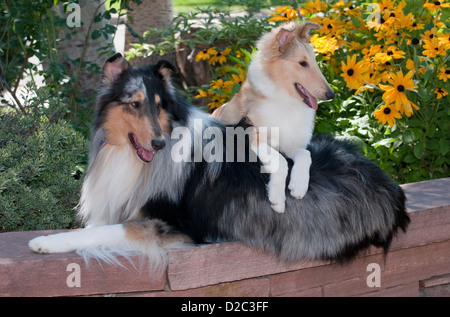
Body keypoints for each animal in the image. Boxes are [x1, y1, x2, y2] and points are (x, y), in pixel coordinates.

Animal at [27, 53, 408, 268]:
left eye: (160, 105)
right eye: (133, 104)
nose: (159, 143)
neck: (136, 161)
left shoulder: (167, 224)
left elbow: (99, 233)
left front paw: (45, 242)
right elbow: (93, 228)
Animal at [212, 21, 334, 211]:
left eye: (314, 62)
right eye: (303, 63)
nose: (331, 94)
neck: (286, 102)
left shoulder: (291, 146)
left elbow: (306, 154)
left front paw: (298, 186)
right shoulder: (253, 138)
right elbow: (281, 162)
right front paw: (277, 198)